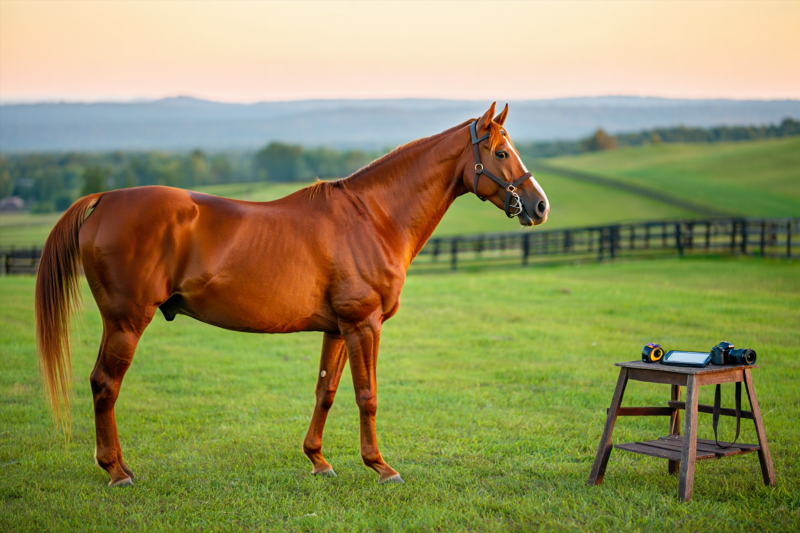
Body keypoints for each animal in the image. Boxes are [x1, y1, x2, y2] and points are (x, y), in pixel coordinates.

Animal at [35, 102, 549, 487]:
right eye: (501, 152)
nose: (540, 206)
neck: (373, 217)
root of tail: (105, 198)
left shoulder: (338, 328)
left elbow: (326, 390)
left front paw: (318, 460)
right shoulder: (364, 324)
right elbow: (367, 394)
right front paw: (381, 466)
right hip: (126, 321)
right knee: (105, 385)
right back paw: (116, 470)